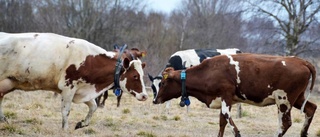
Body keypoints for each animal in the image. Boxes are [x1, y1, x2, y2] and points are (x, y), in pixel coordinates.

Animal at [0, 32, 148, 130]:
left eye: (142, 75)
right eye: (135, 76)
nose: (145, 96)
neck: (90, 60)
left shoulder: (82, 90)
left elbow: (93, 106)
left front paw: (82, 123)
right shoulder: (68, 88)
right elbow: (66, 111)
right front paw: (64, 130)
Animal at [154, 53, 316, 137]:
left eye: (163, 83)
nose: (155, 100)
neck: (209, 71)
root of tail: (302, 61)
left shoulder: (226, 94)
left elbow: (227, 118)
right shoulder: (223, 99)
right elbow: (222, 122)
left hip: (284, 100)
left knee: (285, 123)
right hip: (298, 98)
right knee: (311, 108)